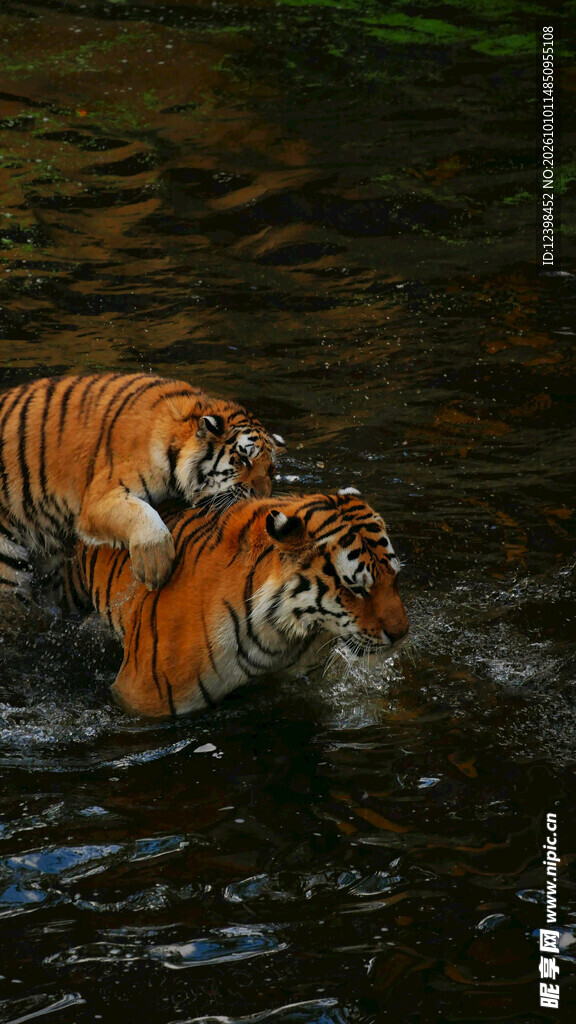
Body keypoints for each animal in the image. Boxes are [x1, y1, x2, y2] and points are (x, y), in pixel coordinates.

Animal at [0, 372, 284, 600]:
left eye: (270, 470)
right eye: (244, 459)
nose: (261, 497)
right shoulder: (100, 499)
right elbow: (141, 515)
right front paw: (155, 567)